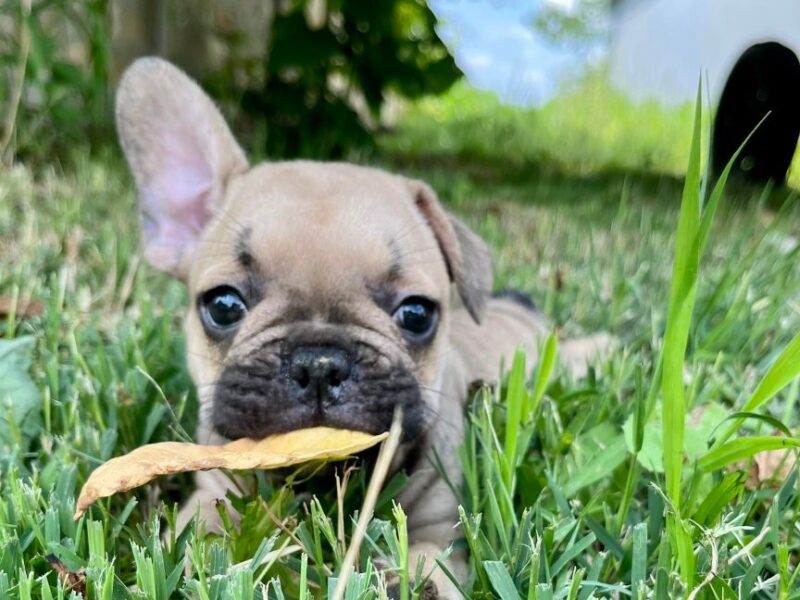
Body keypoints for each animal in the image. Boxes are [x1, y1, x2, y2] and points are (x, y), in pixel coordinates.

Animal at [115, 57, 608, 600]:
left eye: (417, 314)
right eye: (223, 305)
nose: (319, 363)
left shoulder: (442, 526)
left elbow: (430, 560)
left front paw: (411, 583)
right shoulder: (213, 491)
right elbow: (194, 540)